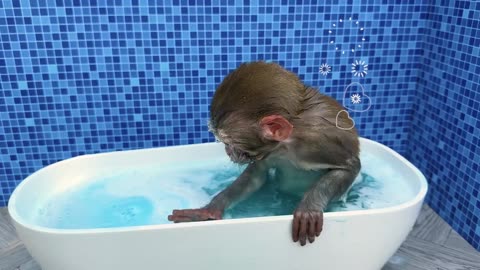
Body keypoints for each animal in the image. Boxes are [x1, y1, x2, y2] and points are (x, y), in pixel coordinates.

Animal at [169, 61, 360, 247]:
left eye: (229, 143)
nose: (227, 151)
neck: (287, 144)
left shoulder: (318, 145)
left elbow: (350, 167)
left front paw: (309, 208)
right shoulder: (269, 152)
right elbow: (256, 176)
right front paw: (210, 210)